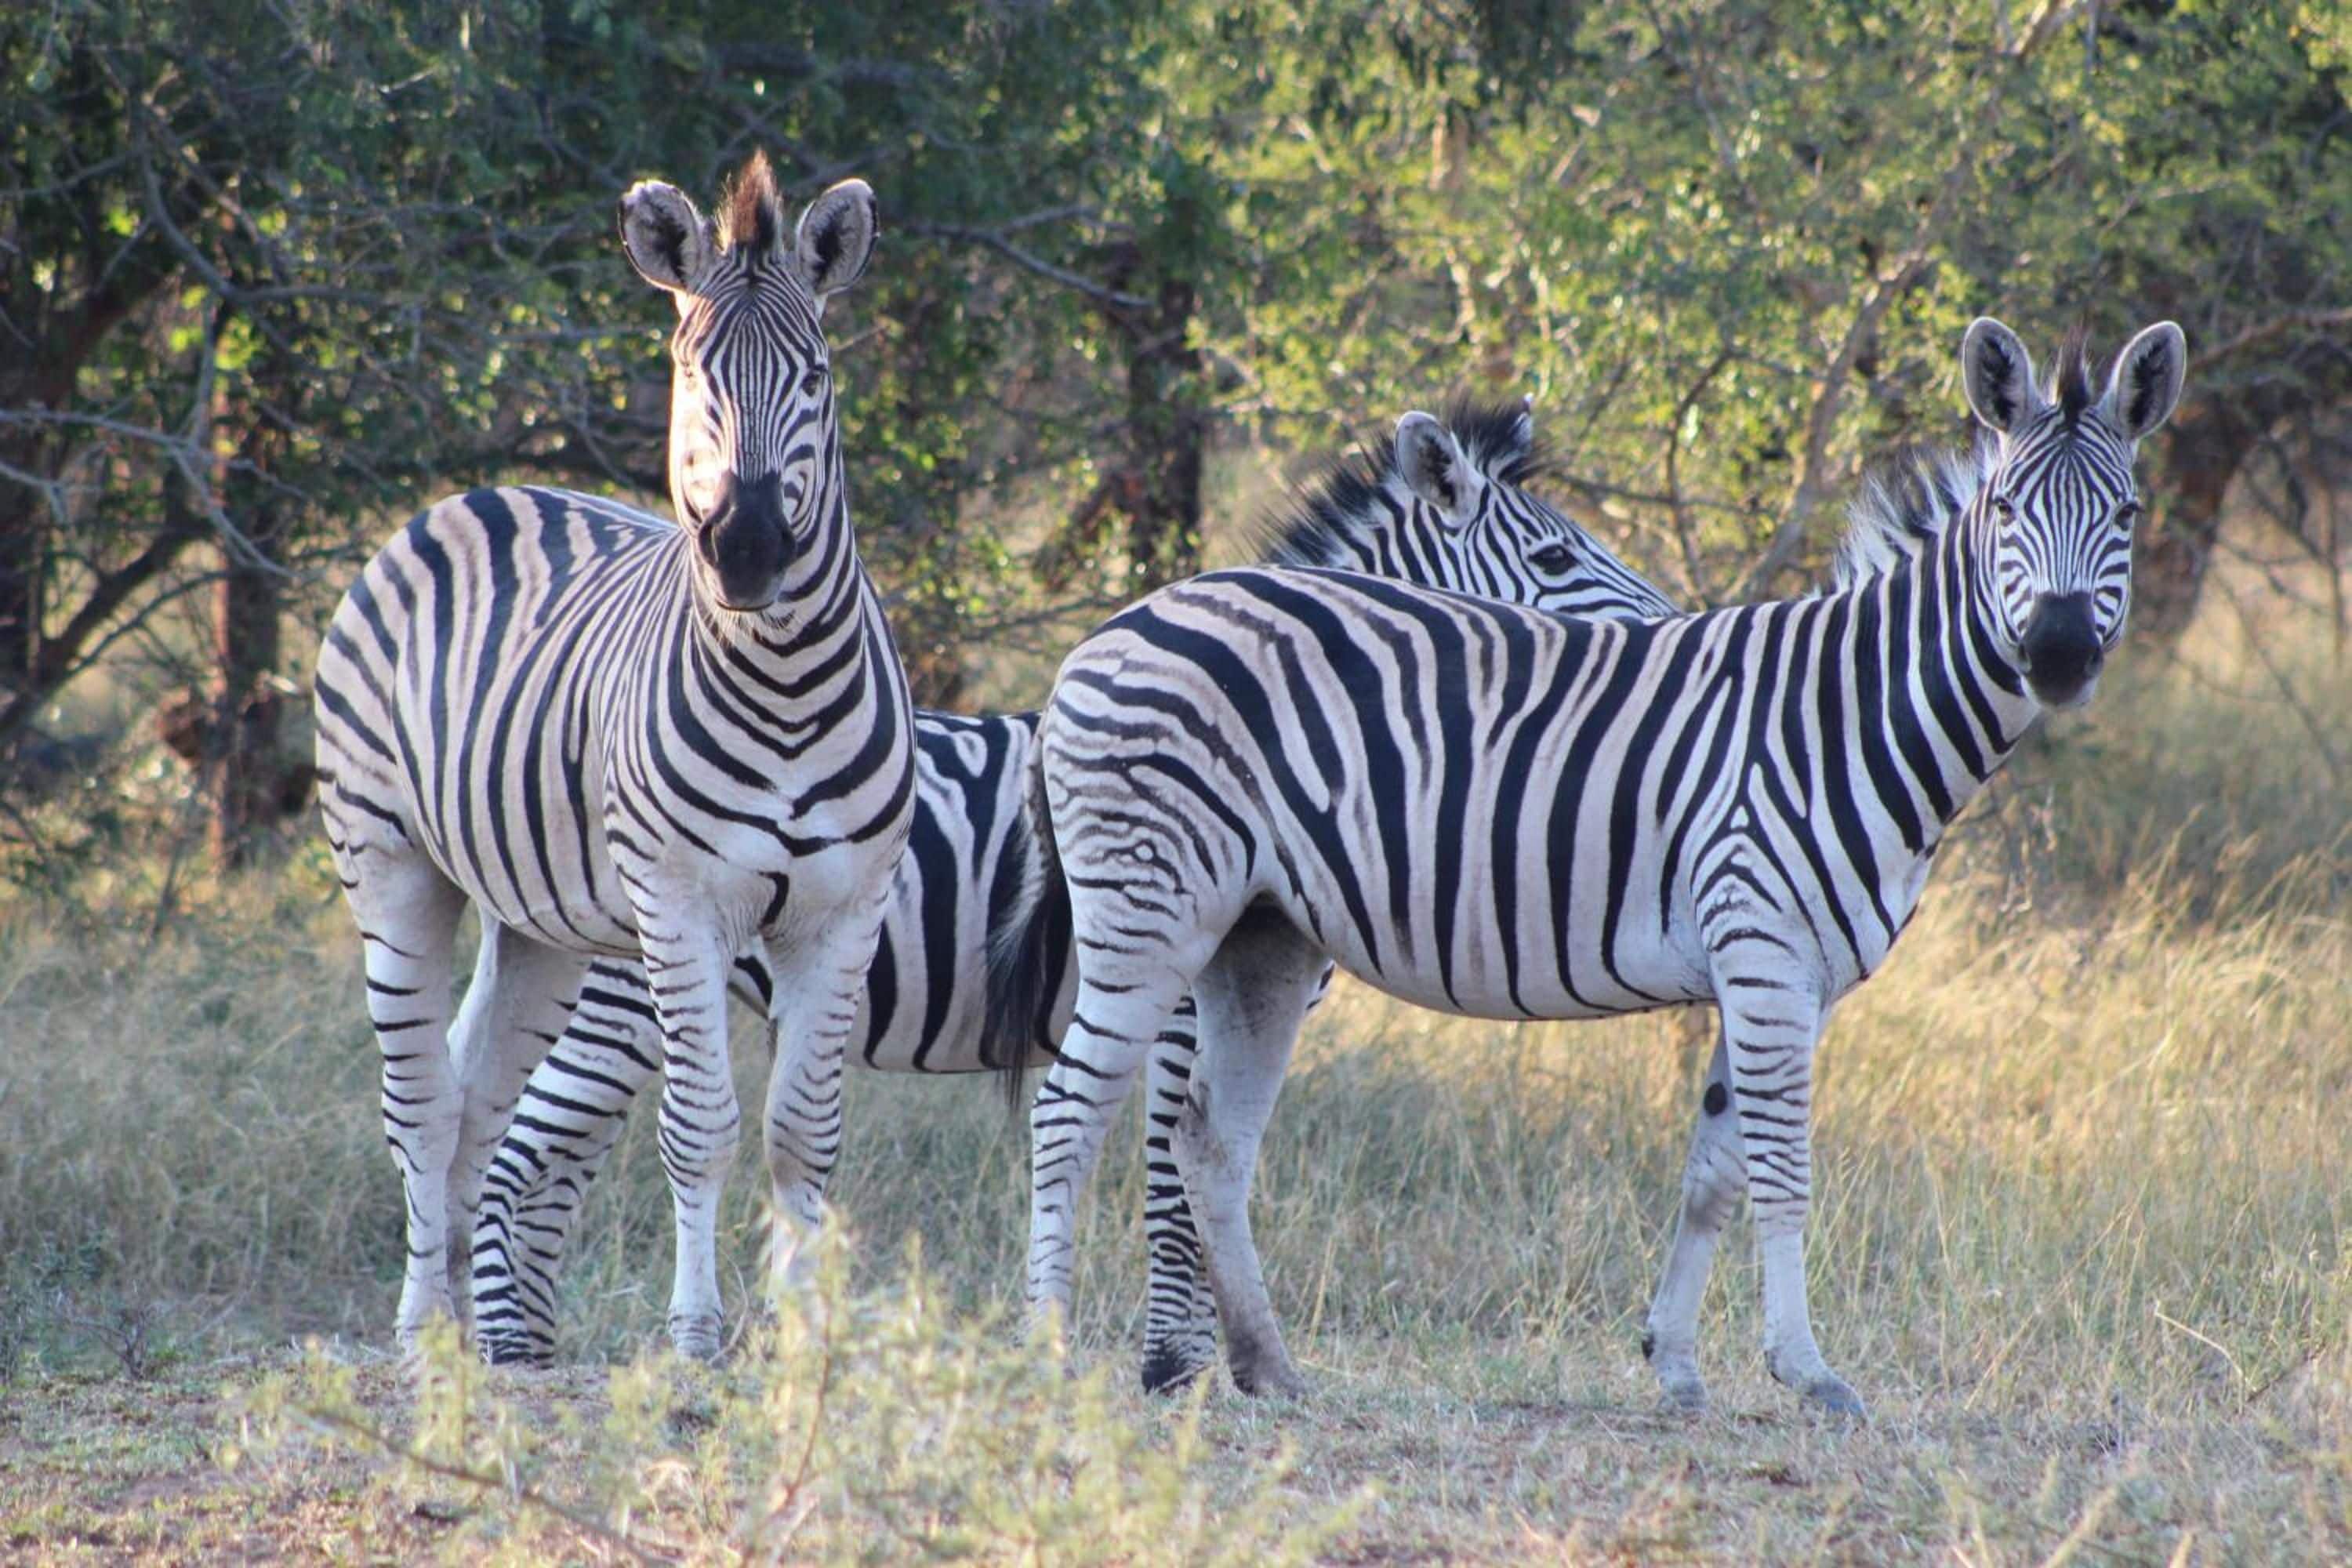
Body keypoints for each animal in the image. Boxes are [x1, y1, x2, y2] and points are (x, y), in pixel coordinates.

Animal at [312, 153, 914, 1359]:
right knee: (422, 1105)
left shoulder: (846, 911)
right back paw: (425, 1326)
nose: (748, 550)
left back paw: (481, 1340)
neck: (785, 687)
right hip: (389, 864)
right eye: (690, 372)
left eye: (817, 376)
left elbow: (802, 1132)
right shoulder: (681, 904)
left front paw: (803, 1340)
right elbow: (701, 1125)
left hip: (541, 925)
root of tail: (477, 493)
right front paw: (697, 1330)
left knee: (477, 1094)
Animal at [464, 400, 1682, 1373]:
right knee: (522, 1153)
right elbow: (1171, 1181)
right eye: (1559, 560)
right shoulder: (1178, 994)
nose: (1678, 624)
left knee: (555, 1161)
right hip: (636, 990)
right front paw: (1172, 1361)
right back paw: (503, 1351)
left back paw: (537, 1343)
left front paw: (1186, 1353)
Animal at [1012, 318, 2186, 1416]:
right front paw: (1807, 1371)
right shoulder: (1765, 955)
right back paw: (1053, 1354)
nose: (2061, 655)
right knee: (1068, 1108)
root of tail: (1116, 626)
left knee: (1209, 1138)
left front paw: (1678, 1365)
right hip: (1151, 912)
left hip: (1261, 939)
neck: (1843, 714)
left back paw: (1269, 1367)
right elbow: (1783, 1173)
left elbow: (1713, 1175)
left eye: (2127, 518)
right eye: (2006, 513)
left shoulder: (1782, 974)